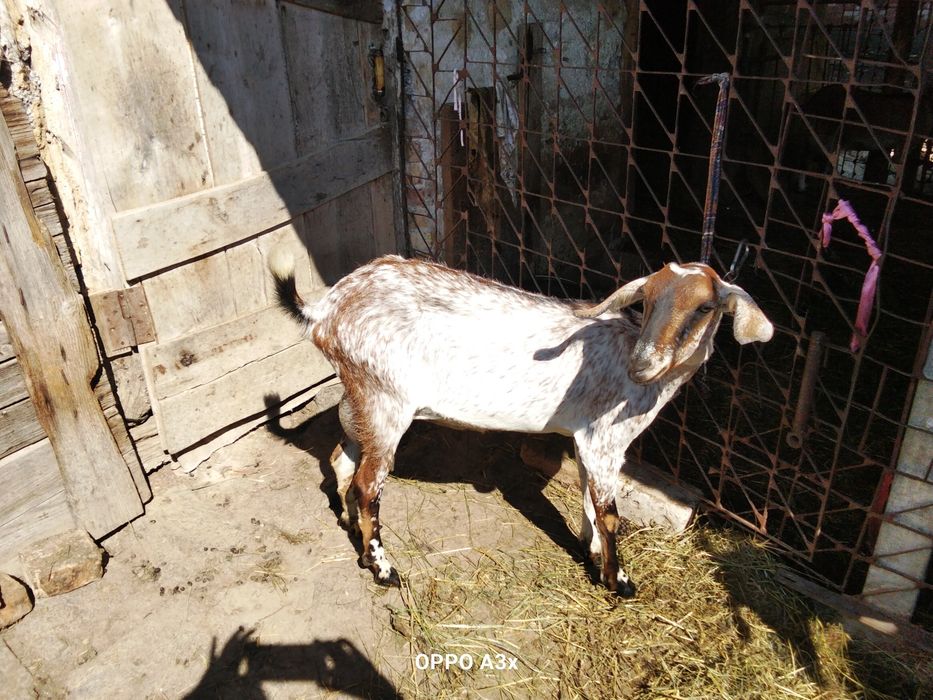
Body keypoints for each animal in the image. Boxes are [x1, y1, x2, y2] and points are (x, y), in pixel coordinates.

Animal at [269, 252, 774, 596]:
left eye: (705, 308)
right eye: (647, 300)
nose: (643, 364)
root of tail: (326, 310)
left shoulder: (585, 441)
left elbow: (589, 503)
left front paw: (592, 555)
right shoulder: (606, 442)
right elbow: (610, 515)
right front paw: (620, 581)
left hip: (362, 399)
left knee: (342, 462)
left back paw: (351, 527)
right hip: (385, 399)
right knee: (368, 485)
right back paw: (383, 568)